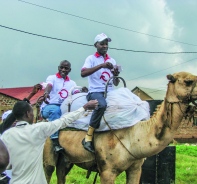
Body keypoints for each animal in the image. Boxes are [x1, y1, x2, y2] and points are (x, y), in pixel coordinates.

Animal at [43, 72, 197, 184]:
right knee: (48, 170)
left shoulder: (135, 169)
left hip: (67, 159)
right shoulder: (107, 171)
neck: (134, 135)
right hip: (48, 150)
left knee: (61, 173)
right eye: (188, 81)